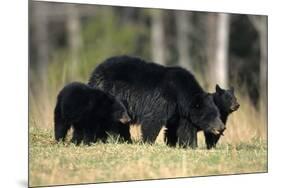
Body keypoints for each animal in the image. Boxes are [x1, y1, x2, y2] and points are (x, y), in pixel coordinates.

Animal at [88, 55, 224, 148]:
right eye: (211, 116)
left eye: (218, 114)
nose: (222, 127)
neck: (180, 95)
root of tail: (95, 72)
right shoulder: (163, 100)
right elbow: (153, 120)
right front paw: (147, 142)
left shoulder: (181, 112)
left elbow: (184, 128)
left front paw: (189, 145)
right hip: (111, 93)